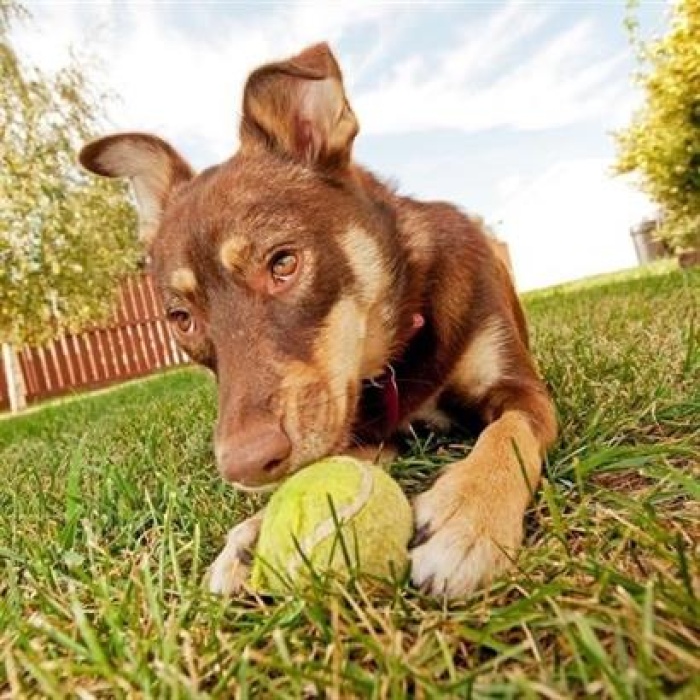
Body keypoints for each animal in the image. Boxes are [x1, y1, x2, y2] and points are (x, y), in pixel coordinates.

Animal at [78, 42, 556, 596]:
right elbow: (333, 460)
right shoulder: (364, 429)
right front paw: (255, 530)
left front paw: (468, 513)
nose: (245, 466)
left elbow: (508, 434)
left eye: (283, 263)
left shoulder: (522, 391)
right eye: (181, 318)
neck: (401, 338)